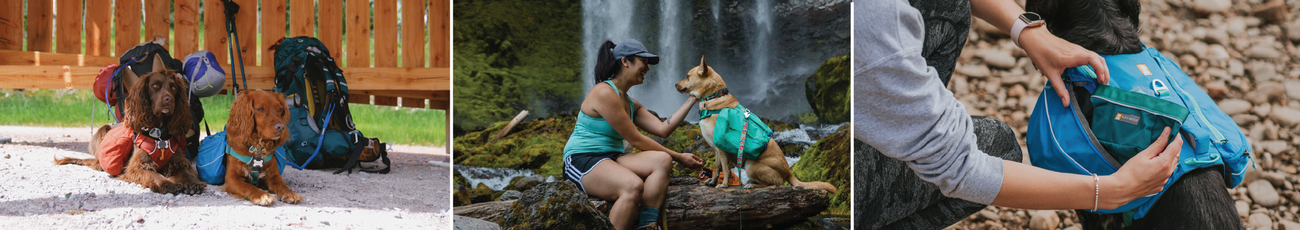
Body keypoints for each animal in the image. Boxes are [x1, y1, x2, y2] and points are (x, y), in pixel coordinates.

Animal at [676, 57, 837, 192]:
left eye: (687, 76)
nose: (675, 84)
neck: (714, 98)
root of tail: (789, 171)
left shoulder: (722, 148)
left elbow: (726, 170)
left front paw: (724, 184)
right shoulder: (716, 149)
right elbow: (717, 167)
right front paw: (713, 181)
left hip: (751, 165)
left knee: (775, 183)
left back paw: (752, 185)